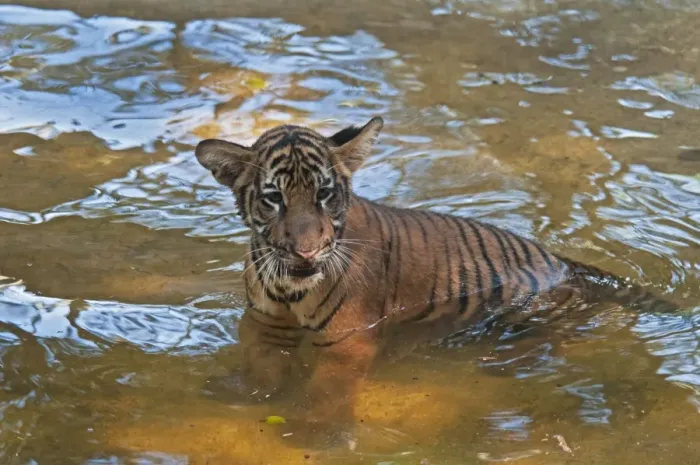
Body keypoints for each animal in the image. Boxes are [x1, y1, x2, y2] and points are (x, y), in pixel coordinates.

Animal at [195, 116, 679, 428]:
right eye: (274, 198)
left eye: (324, 195)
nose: (307, 252)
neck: (289, 289)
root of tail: (562, 262)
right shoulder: (265, 322)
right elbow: (262, 365)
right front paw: (255, 394)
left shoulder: (348, 340)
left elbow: (328, 389)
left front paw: (312, 426)